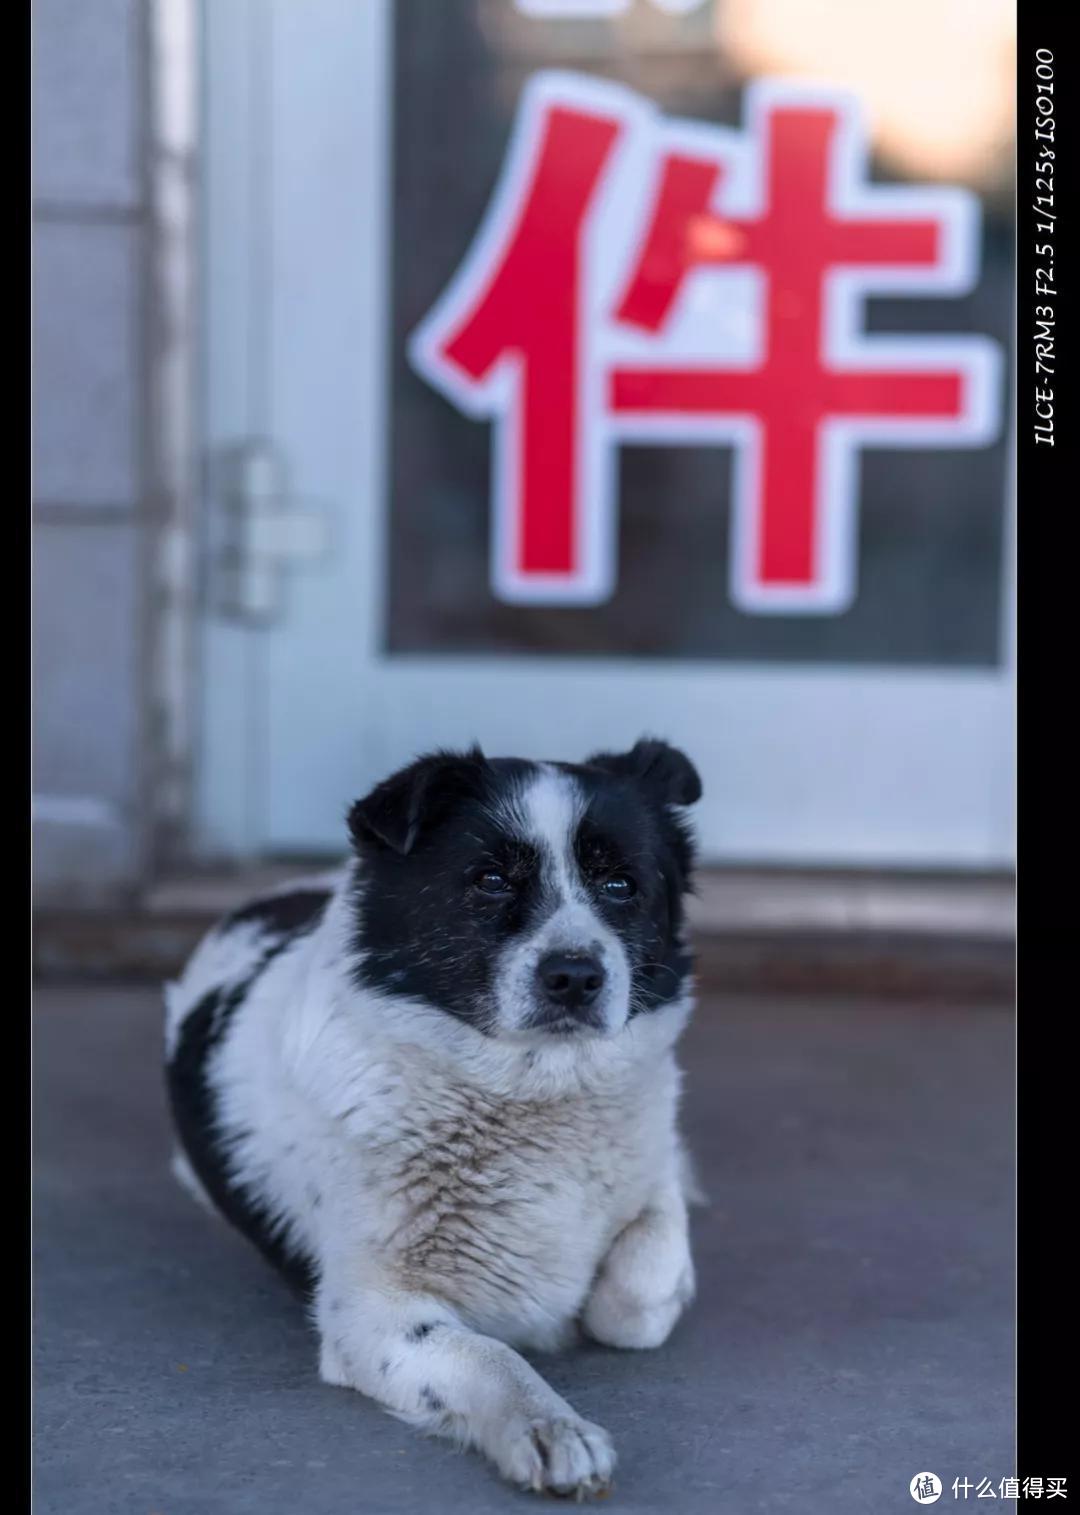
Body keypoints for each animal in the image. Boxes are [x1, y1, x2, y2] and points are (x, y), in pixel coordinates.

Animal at [159, 739, 699, 1496]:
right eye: (491, 879)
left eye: (621, 885)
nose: (575, 976)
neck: (530, 1093)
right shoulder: (373, 1315)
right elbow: (490, 1356)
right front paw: (549, 1427)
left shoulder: (652, 1180)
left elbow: (638, 1293)